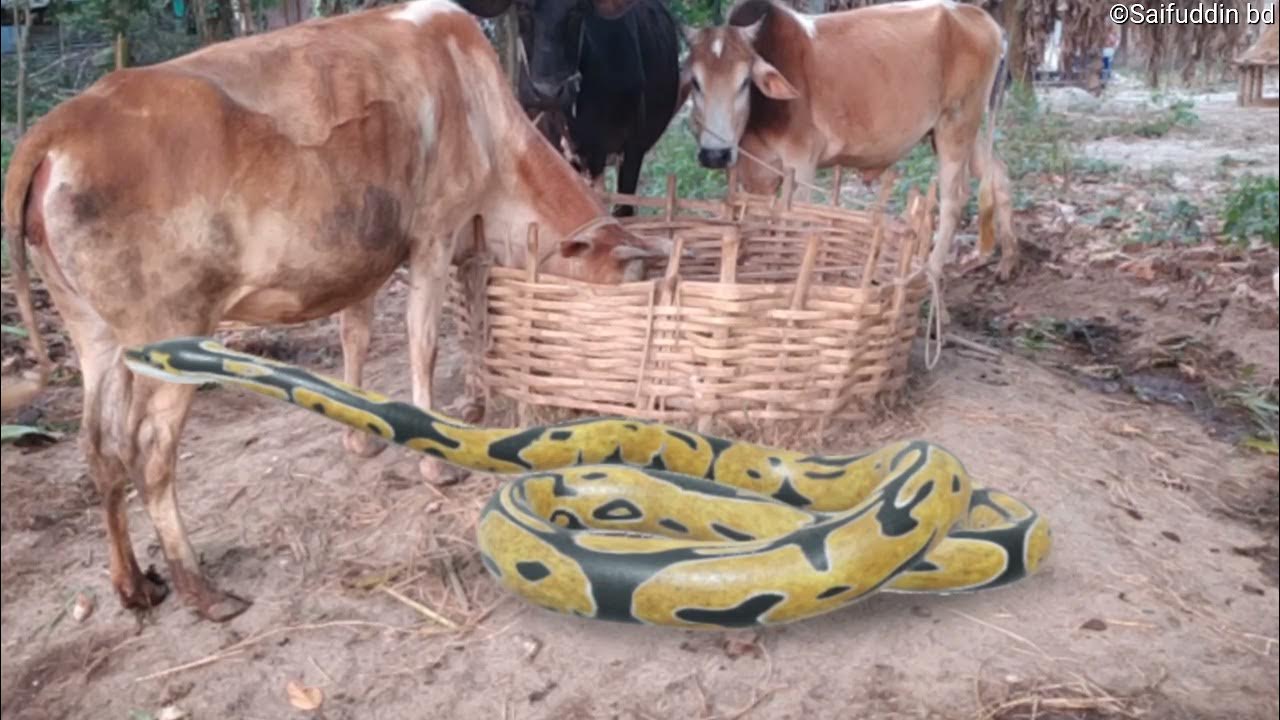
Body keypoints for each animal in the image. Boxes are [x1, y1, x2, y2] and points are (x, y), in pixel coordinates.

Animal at [682, 0, 1017, 282]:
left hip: (956, 123)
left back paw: (931, 273)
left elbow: (792, 226)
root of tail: (982, 18)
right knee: (998, 173)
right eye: (696, 83)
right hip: (960, 129)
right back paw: (1006, 261)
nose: (715, 154)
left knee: (953, 198)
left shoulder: (801, 163)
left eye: (744, 83)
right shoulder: (755, 176)